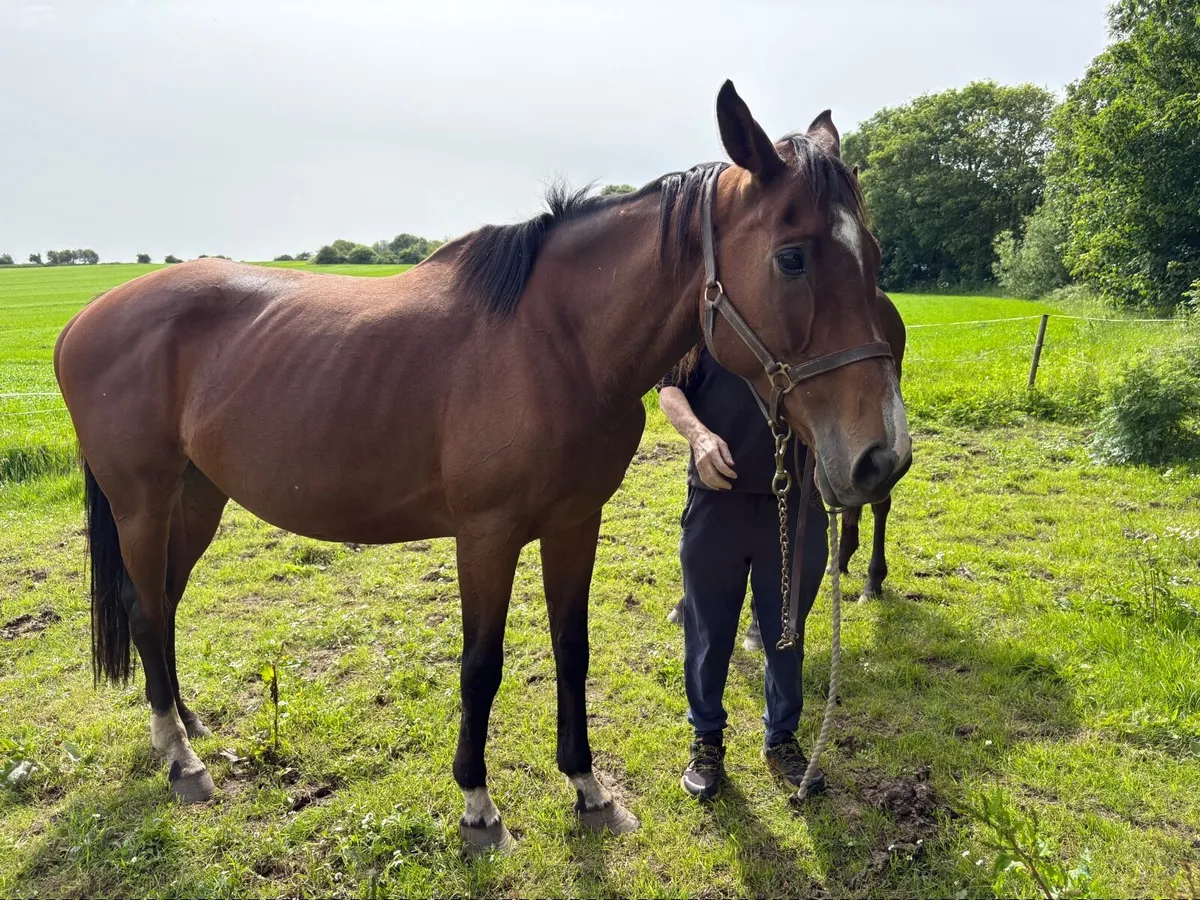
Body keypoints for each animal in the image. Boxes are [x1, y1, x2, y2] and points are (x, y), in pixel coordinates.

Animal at [53, 80, 911, 854]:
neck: (555, 344)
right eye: (792, 258)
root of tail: (83, 320)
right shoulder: (487, 536)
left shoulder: (575, 524)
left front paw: (588, 787)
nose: (882, 457)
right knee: (145, 611)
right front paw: (478, 805)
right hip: (143, 502)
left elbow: (573, 650)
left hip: (198, 498)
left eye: (873, 255)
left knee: (164, 605)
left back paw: (187, 723)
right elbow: (481, 666)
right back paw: (182, 758)